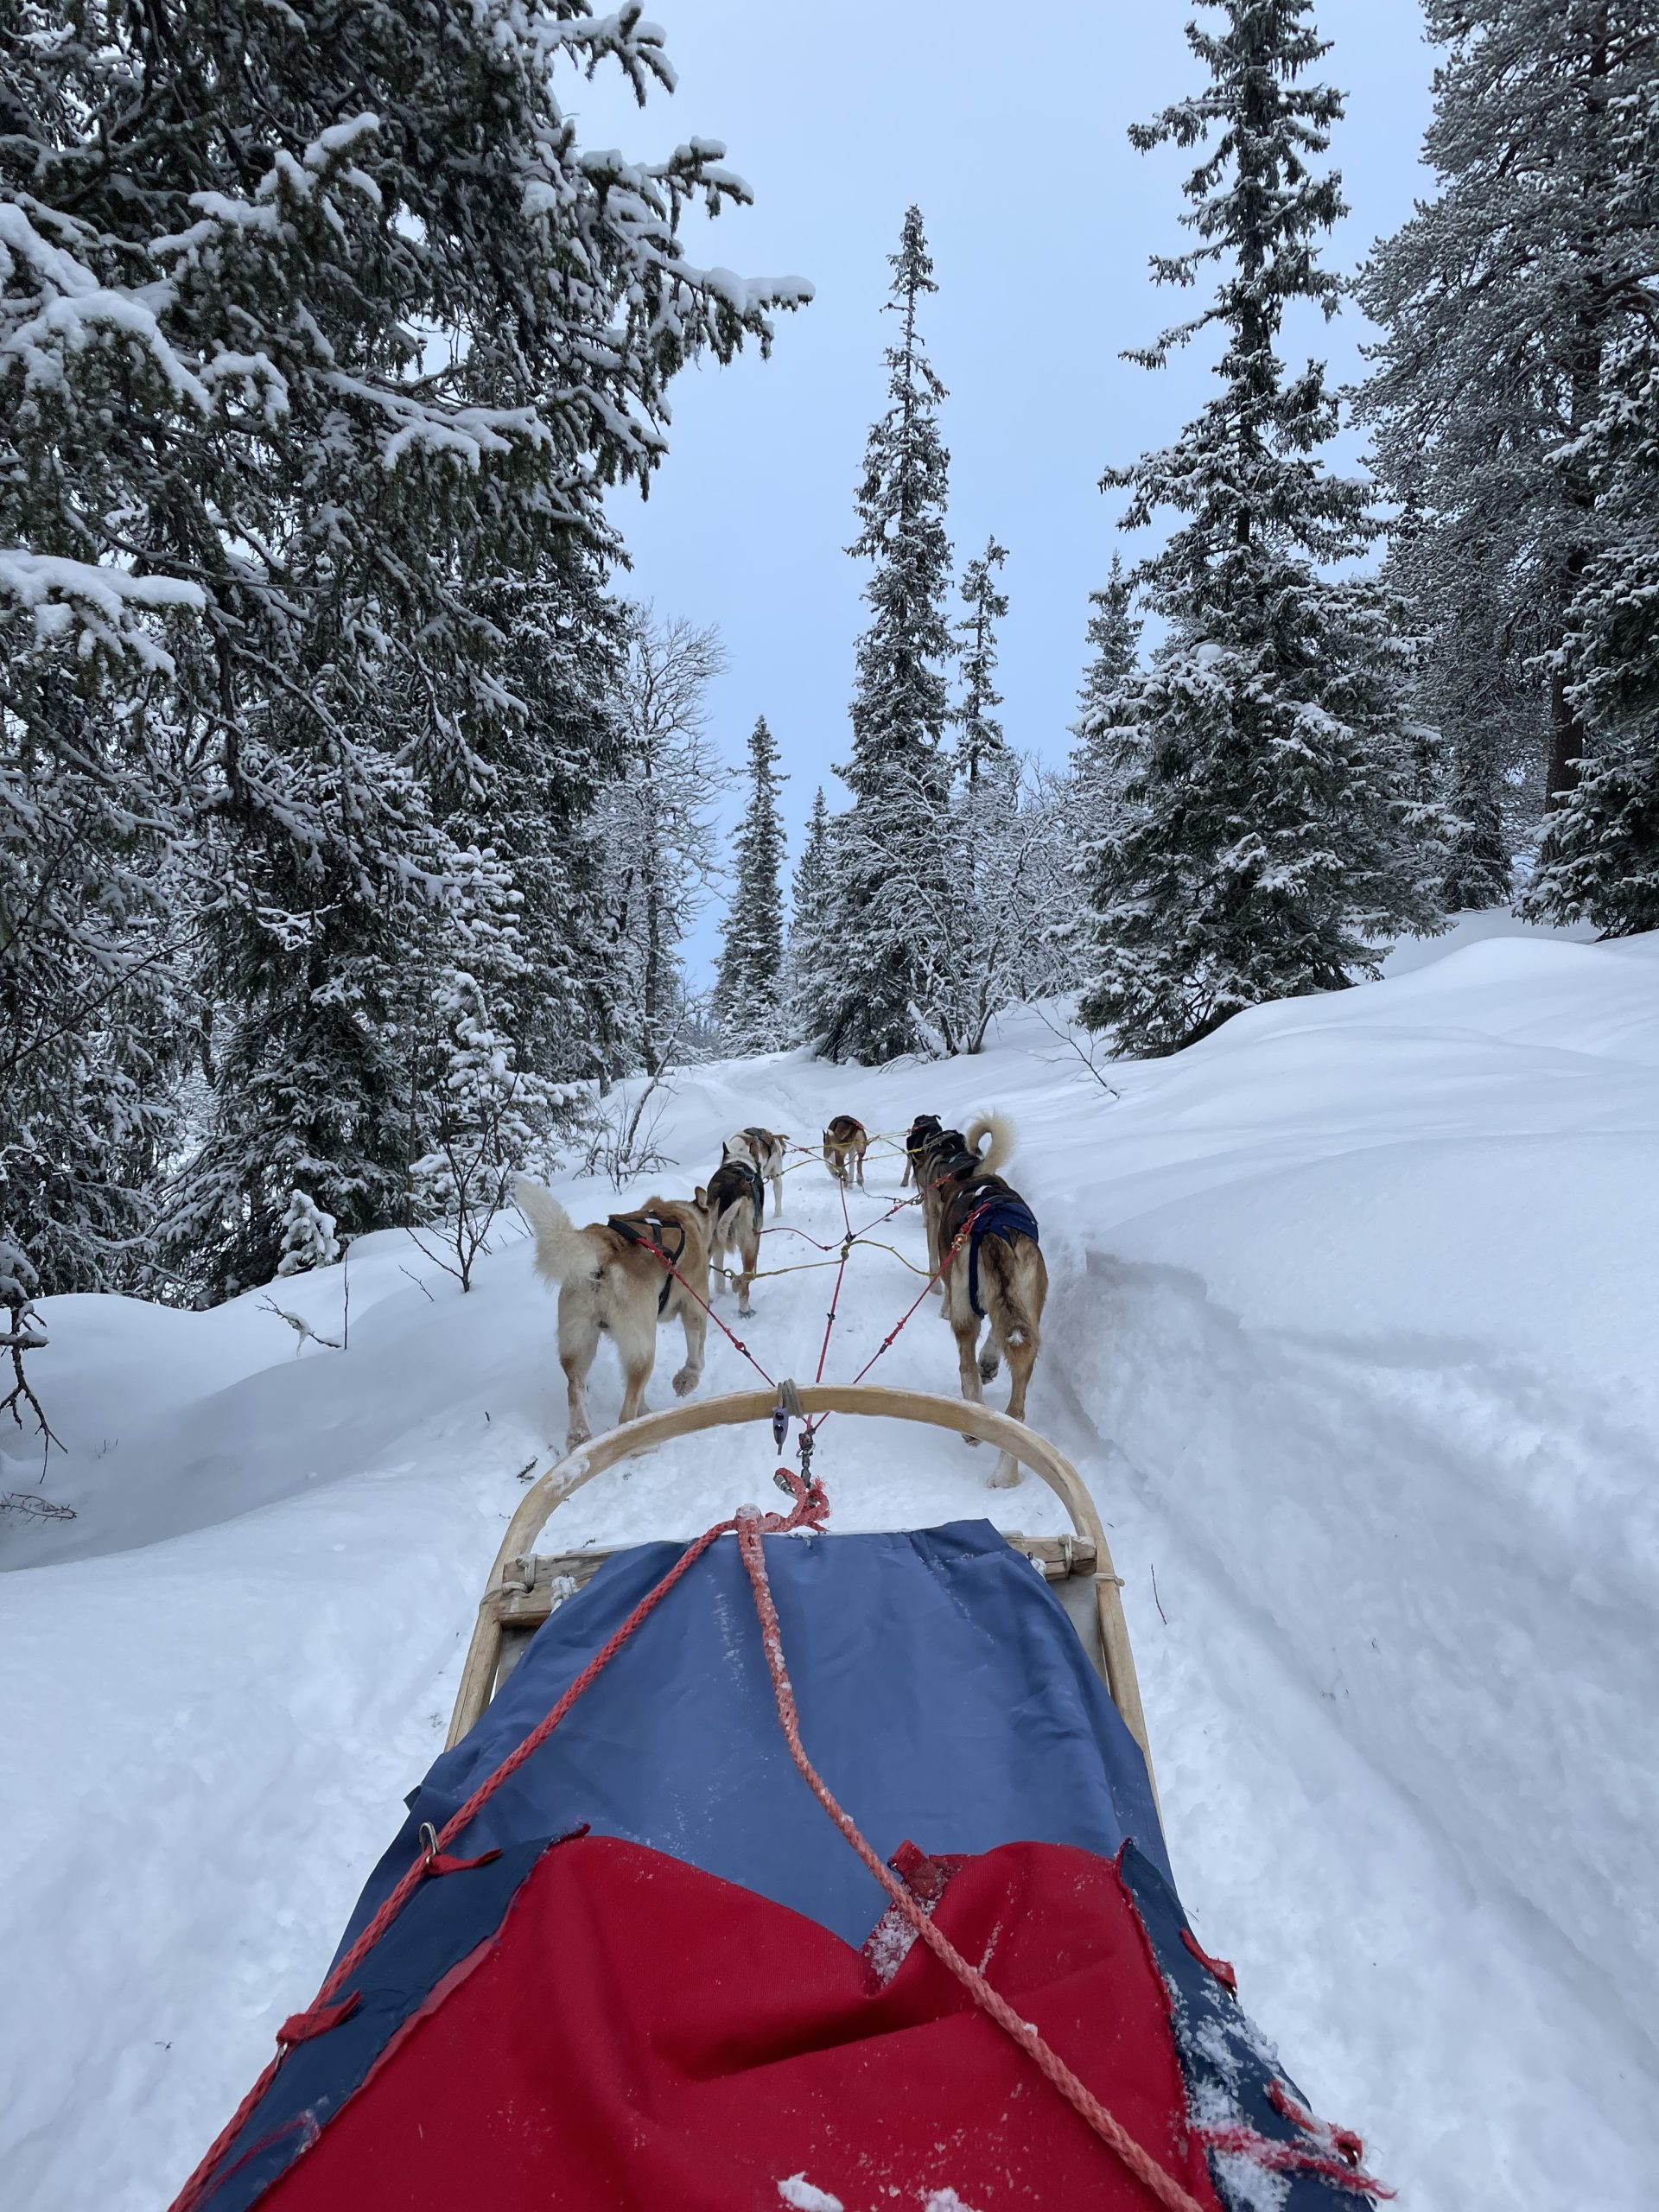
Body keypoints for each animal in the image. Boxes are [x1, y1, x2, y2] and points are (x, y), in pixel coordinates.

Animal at [512, 1176, 708, 1451]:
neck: (682, 1217)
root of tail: (602, 1252)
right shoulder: (695, 1302)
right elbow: (696, 1354)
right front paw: (687, 1380)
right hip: (642, 1348)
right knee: (625, 1412)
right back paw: (639, 1441)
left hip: (579, 1344)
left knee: (575, 1389)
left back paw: (581, 1436)